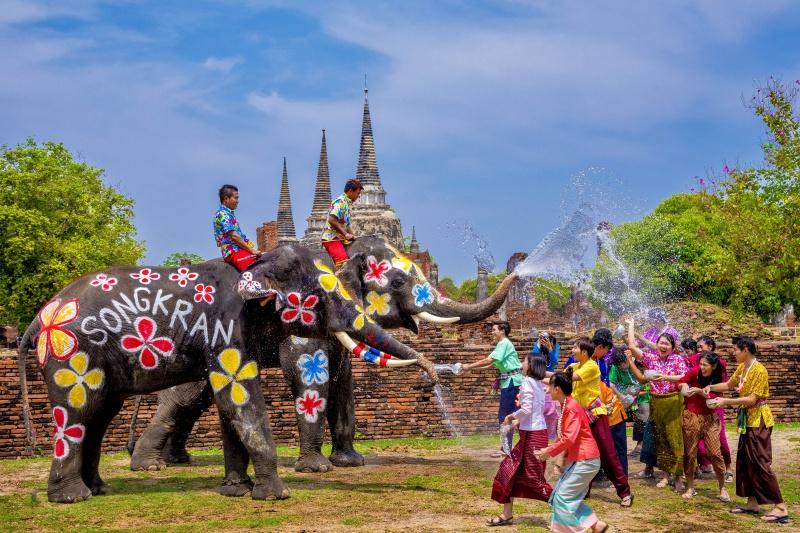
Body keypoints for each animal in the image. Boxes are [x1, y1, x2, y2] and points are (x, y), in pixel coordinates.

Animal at [18, 242, 440, 502]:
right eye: (321, 296)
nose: (432, 378)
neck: (259, 262)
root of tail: (41, 316)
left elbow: (229, 404)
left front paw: (237, 490)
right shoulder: (225, 328)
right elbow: (241, 395)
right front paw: (276, 494)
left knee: (101, 413)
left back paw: (100, 489)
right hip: (71, 355)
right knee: (79, 411)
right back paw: (74, 497)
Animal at [131, 237, 520, 474]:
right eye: (397, 283)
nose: (433, 377)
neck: (338, 252)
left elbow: (343, 381)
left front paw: (351, 462)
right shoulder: (300, 317)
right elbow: (307, 374)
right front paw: (317, 468)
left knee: (194, 399)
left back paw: (177, 460)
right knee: (184, 398)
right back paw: (150, 466)